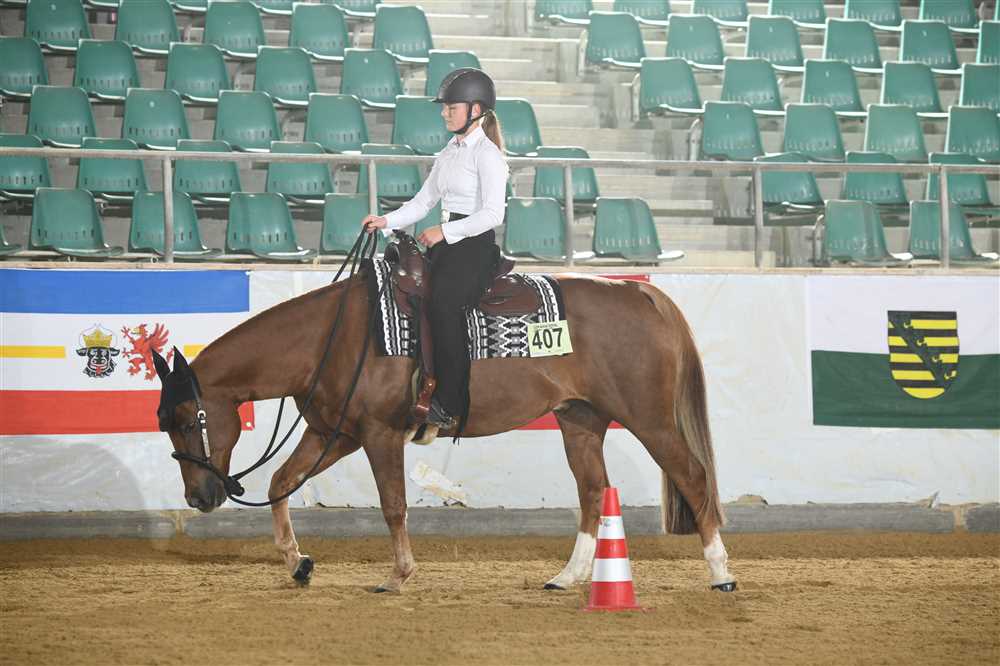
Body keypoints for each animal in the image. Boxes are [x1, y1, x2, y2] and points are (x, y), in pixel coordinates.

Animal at [152, 267, 737, 593]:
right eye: (164, 423)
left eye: (184, 419)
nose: (198, 496)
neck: (332, 338)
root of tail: (643, 297)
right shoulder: (332, 434)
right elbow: (280, 483)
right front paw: (298, 564)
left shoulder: (378, 434)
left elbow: (393, 505)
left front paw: (398, 575)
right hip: (580, 420)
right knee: (594, 491)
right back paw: (568, 577)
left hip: (649, 419)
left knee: (693, 476)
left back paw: (720, 572)